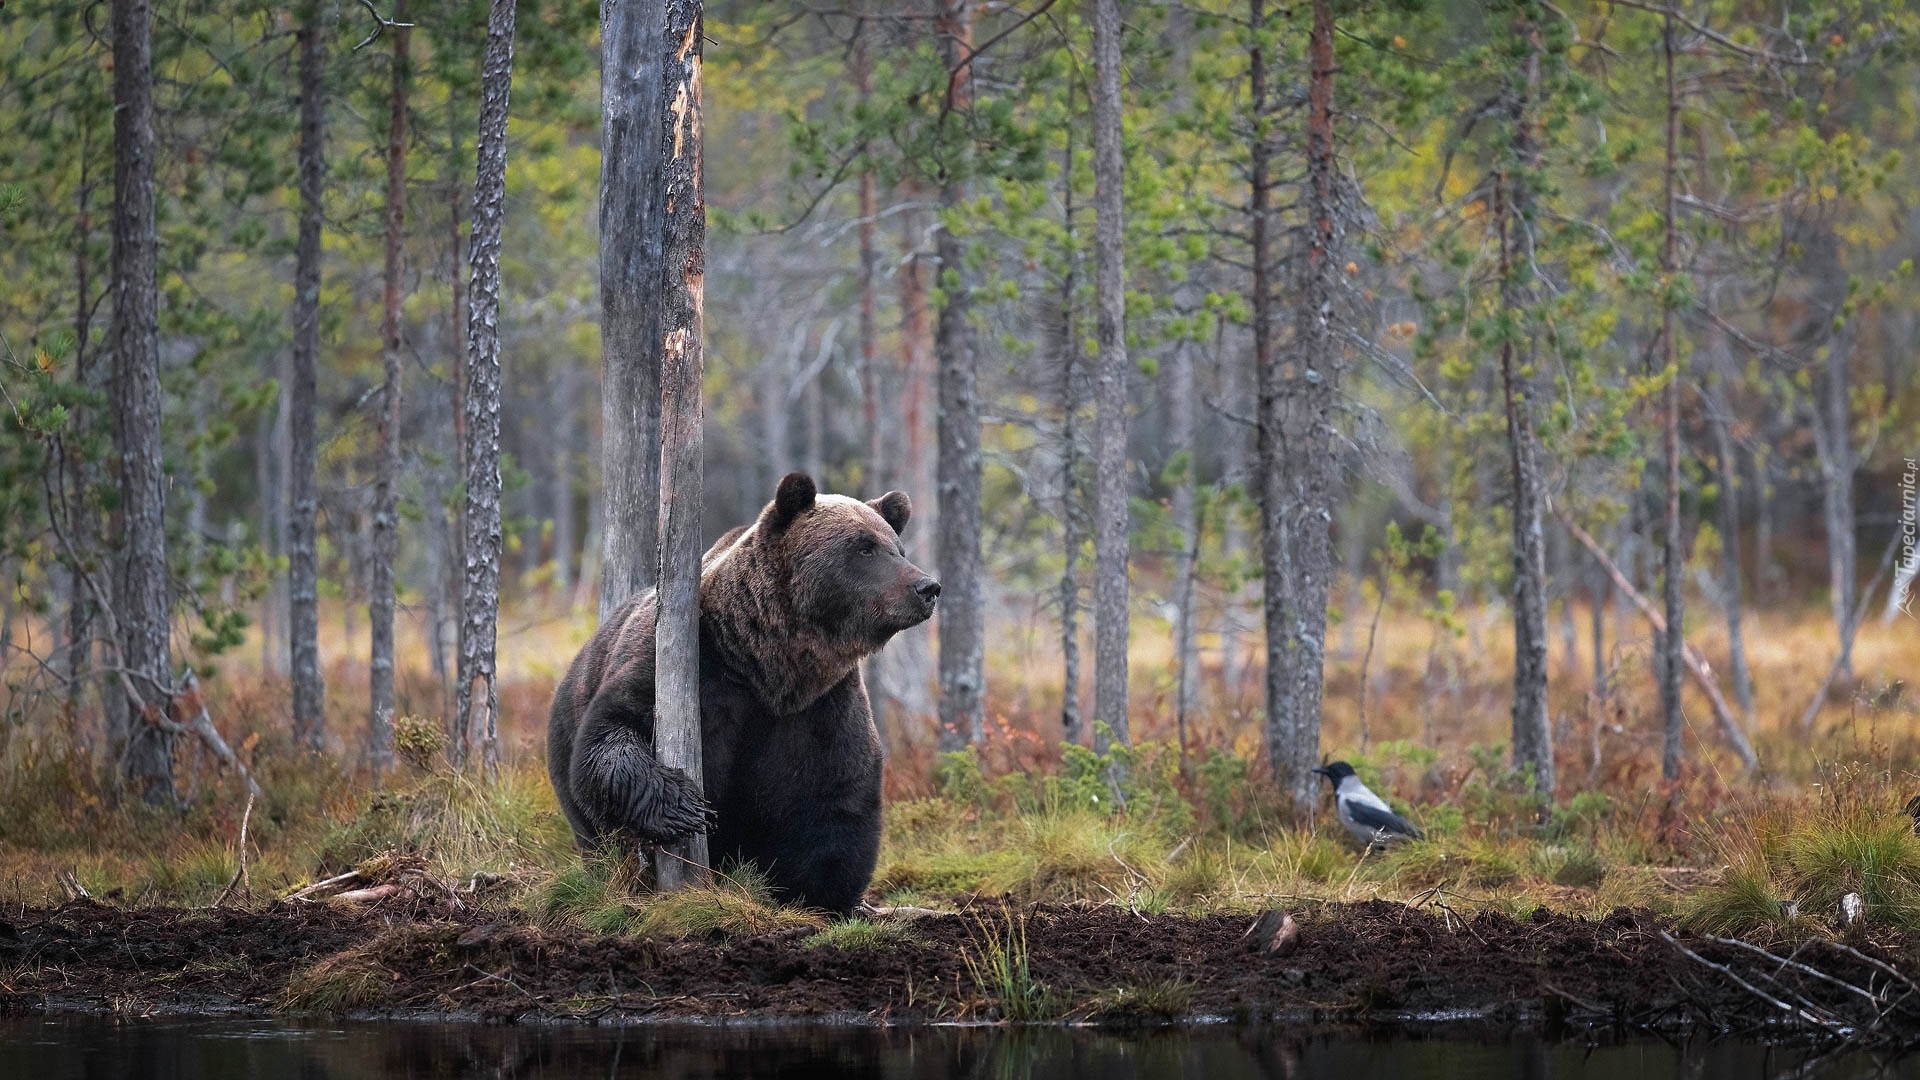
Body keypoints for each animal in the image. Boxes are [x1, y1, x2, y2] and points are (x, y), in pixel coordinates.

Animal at [545, 470, 940, 907]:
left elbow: (837, 797)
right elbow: (610, 733)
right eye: (865, 547)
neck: (766, 664)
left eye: (898, 548)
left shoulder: (820, 706)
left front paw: (826, 894)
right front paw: (683, 806)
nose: (927, 587)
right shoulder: (689, 664)